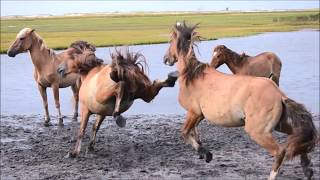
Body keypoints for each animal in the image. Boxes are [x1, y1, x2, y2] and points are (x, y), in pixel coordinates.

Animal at [164, 21, 318, 179]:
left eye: (170, 41)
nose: (166, 59)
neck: (192, 75)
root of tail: (279, 94)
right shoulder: (199, 115)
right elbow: (194, 131)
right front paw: (202, 149)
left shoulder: (193, 112)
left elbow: (184, 132)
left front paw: (206, 154)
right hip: (279, 125)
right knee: (297, 136)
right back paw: (307, 169)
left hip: (258, 132)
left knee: (280, 152)